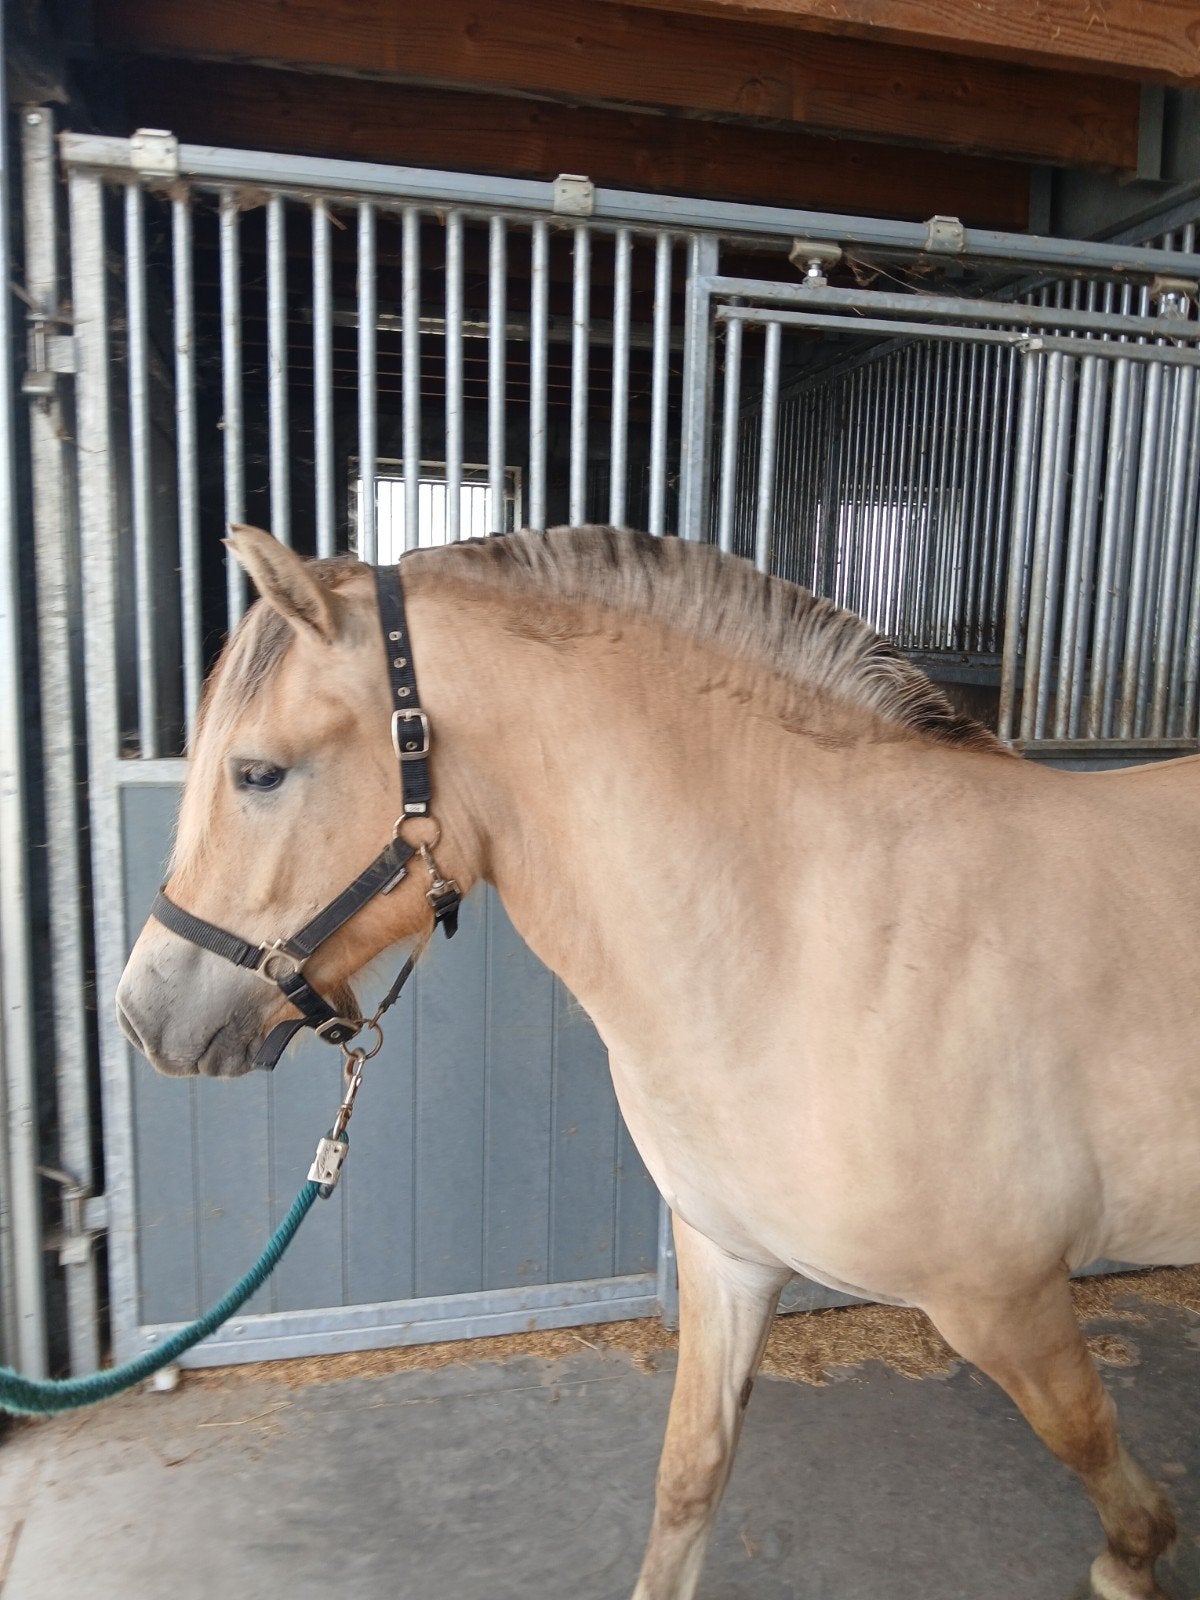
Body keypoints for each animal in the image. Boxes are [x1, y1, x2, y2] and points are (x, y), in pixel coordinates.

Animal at [116, 520, 1200, 1600]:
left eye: (258, 773)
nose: (142, 1012)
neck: (833, 938)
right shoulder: (729, 1259)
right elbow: (688, 1476)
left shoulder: (1008, 1301)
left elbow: (1092, 1444)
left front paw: (1133, 1560)